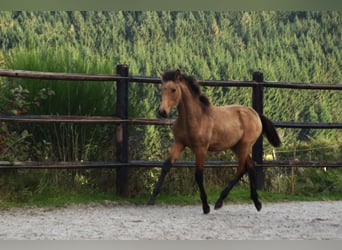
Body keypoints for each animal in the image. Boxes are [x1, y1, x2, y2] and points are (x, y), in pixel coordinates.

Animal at [147, 69, 280, 214]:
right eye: (162, 89)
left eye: (173, 89)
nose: (162, 112)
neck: (195, 118)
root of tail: (255, 113)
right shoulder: (179, 143)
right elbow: (166, 165)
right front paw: (152, 199)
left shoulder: (201, 149)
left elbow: (198, 175)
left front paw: (206, 206)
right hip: (236, 146)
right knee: (249, 166)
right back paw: (257, 203)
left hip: (245, 145)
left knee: (241, 169)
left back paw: (219, 201)